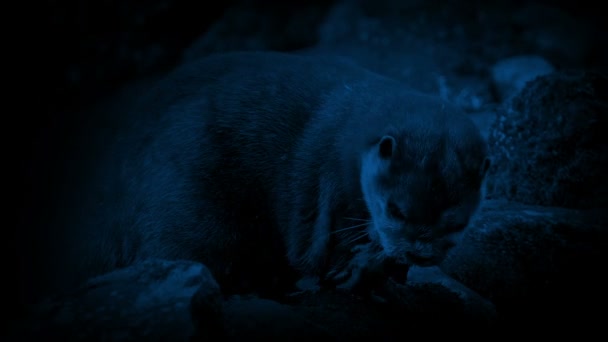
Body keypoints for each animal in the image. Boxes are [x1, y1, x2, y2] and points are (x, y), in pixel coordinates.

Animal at [36, 50, 490, 300]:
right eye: (395, 209)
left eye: (457, 222)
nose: (419, 250)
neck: (348, 143)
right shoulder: (334, 190)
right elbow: (327, 251)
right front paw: (360, 277)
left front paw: (389, 278)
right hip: (180, 205)